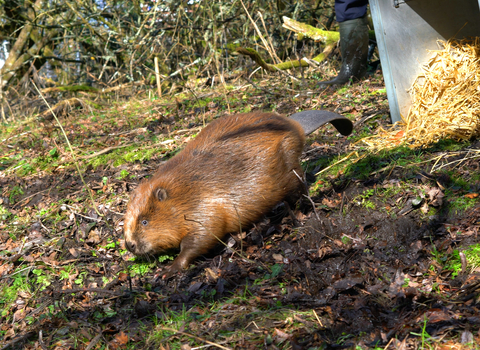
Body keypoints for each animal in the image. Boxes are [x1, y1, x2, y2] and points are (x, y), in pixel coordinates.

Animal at [124, 110, 352, 278]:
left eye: (144, 221)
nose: (129, 245)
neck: (182, 192)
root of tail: (294, 124)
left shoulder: (204, 207)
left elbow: (200, 238)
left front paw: (169, 269)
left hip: (289, 164)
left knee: (299, 188)